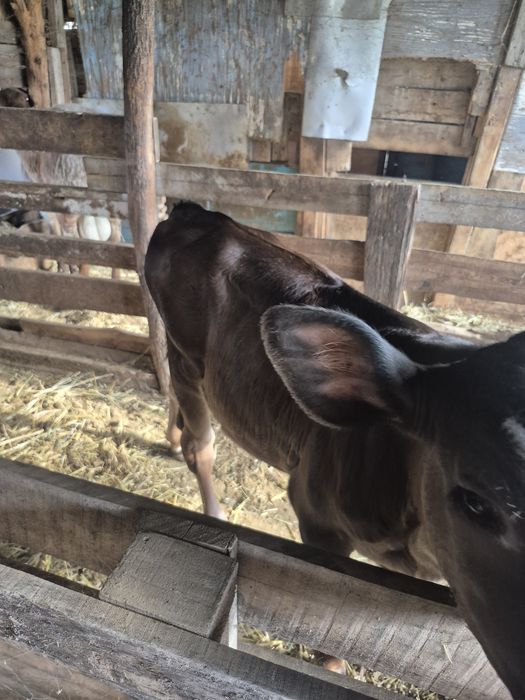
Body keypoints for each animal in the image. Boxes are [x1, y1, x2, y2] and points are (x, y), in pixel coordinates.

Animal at [145, 201, 525, 698]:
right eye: (477, 501)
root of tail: (196, 211)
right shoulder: (316, 516)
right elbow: (330, 612)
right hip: (186, 358)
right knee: (199, 444)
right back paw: (213, 508)